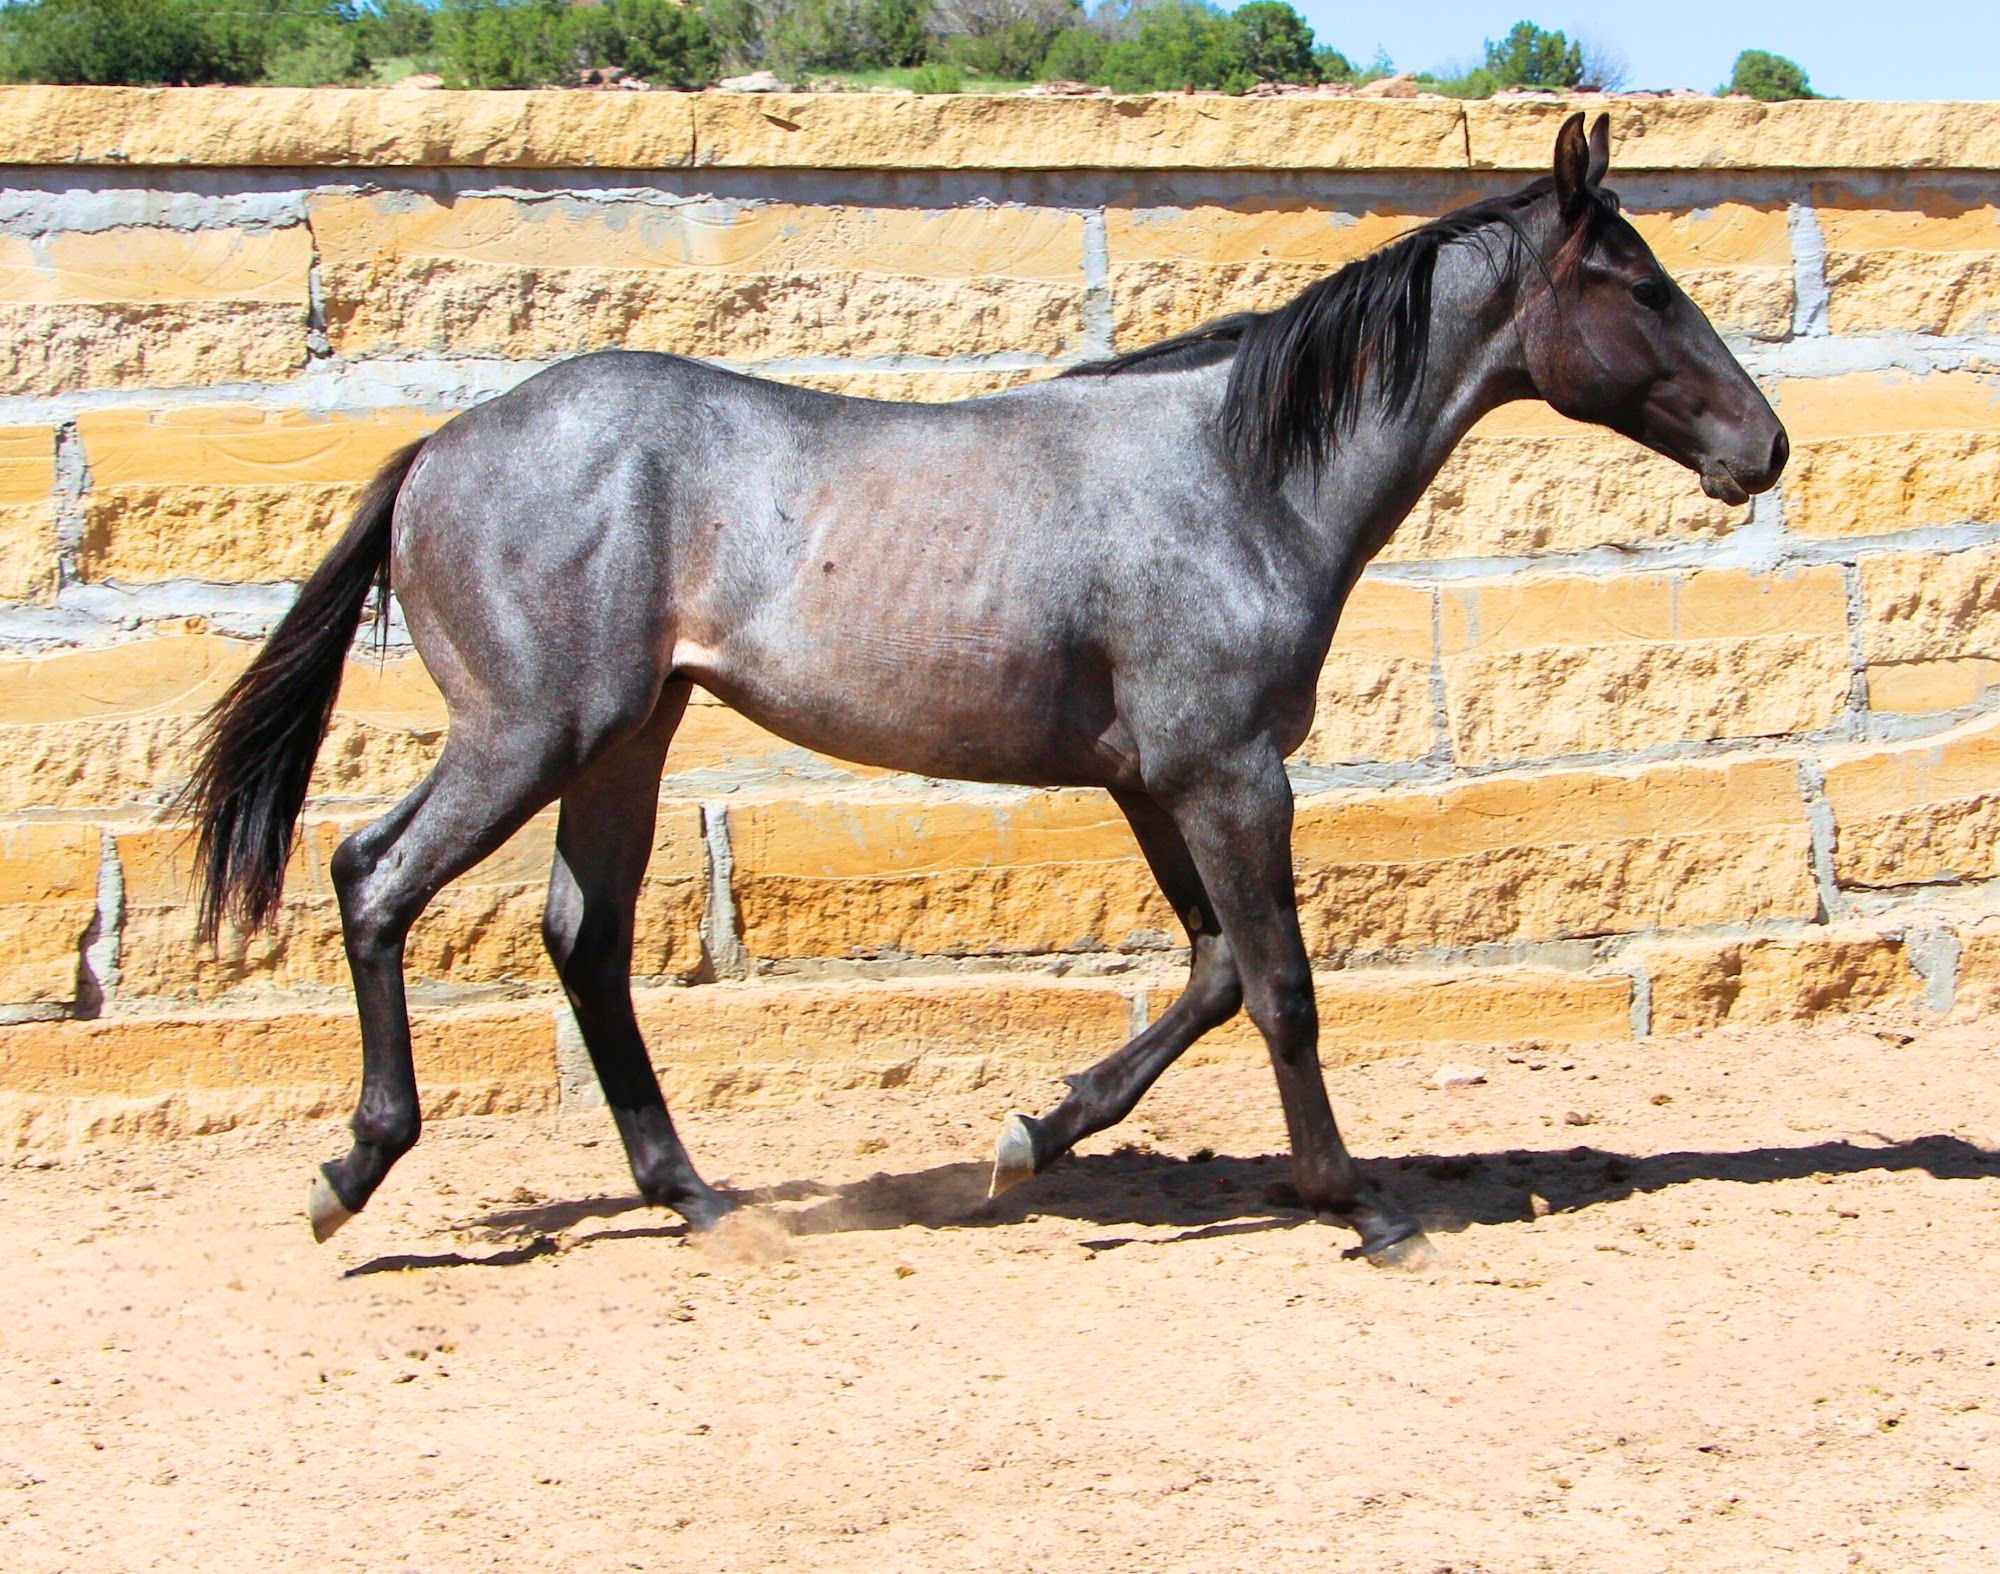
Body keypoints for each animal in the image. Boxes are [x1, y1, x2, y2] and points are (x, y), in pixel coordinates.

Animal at [186, 114, 1787, 1268]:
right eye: (1640, 286)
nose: (1762, 446)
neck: (1234, 477)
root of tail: (435, 452)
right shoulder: (1225, 770)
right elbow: (1281, 986)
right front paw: (1363, 1205)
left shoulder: (1155, 779)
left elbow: (1211, 974)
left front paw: (1027, 1140)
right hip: (533, 730)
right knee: (375, 876)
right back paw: (351, 1171)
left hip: (624, 737)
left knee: (583, 934)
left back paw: (697, 1196)